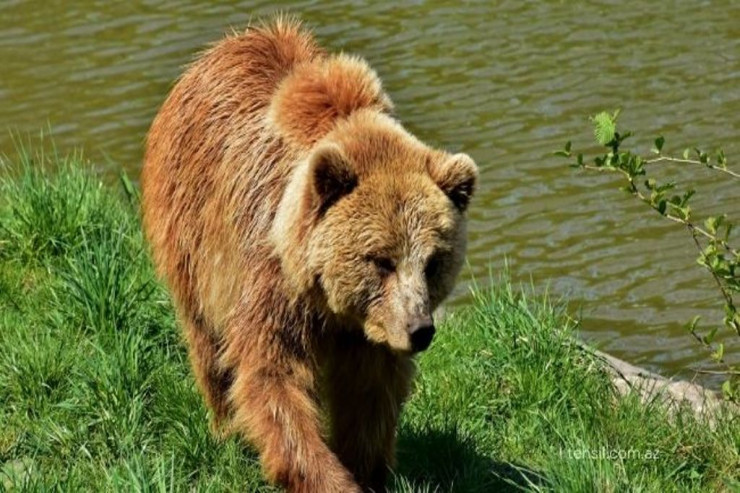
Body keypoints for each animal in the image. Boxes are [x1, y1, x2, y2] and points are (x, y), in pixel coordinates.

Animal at [142, 17, 476, 492]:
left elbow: (370, 395)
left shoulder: (370, 331)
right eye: (381, 259)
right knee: (207, 342)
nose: (420, 330)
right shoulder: (270, 282)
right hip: (190, 233)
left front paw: (366, 468)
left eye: (433, 261)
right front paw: (330, 478)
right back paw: (224, 429)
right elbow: (272, 378)